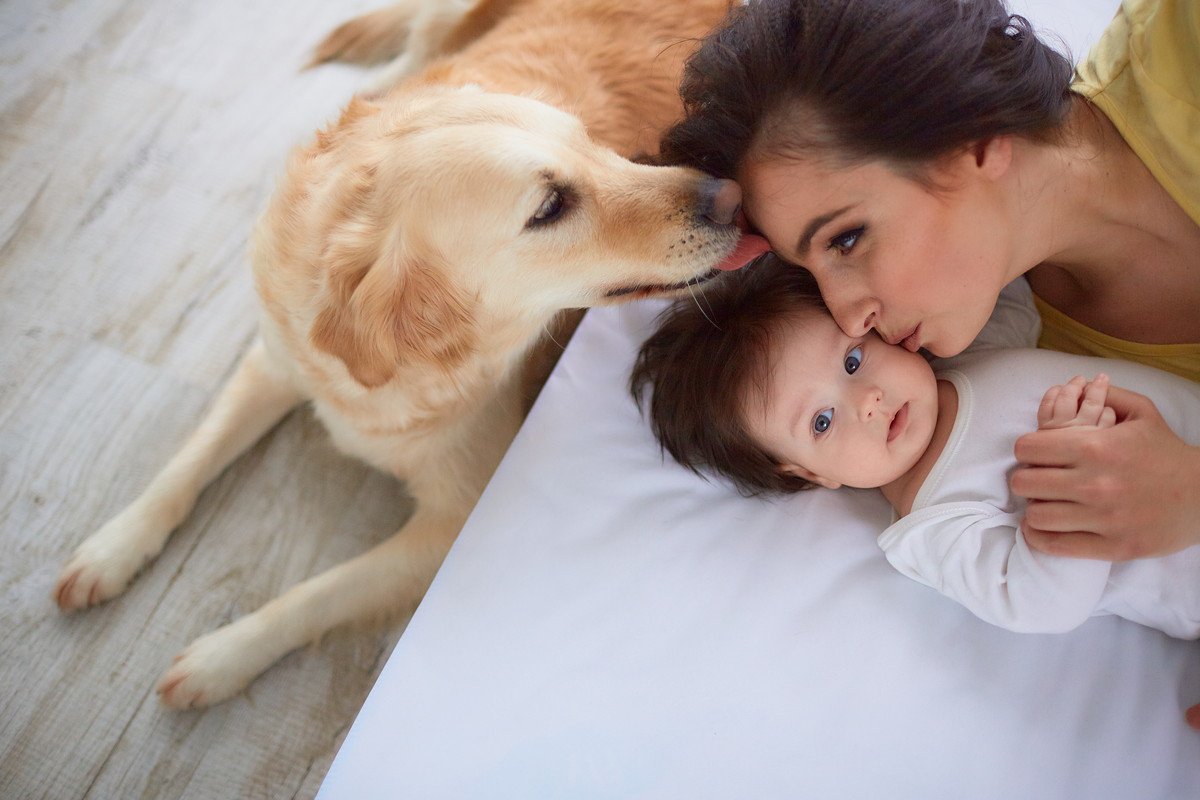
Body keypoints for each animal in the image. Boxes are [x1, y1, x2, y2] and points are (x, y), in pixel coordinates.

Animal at [58, 0, 748, 705]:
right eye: (551, 205)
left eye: (593, 143)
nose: (732, 198)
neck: (394, 368)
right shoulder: (275, 363)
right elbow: (186, 462)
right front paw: (112, 548)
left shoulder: (450, 523)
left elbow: (316, 593)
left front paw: (221, 658)